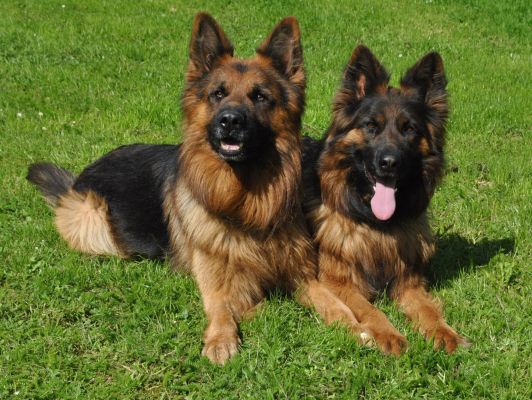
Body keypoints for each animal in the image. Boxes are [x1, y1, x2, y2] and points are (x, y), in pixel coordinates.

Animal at [27, 13, 361, 364]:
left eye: (259, 96)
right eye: (218, 93)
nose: (230, 121)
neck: (245, 203)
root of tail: (78, 178)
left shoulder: (303, 274)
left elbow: (335, 303)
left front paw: (357, 327)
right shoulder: (216, 282)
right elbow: (228, 306)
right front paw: (223, 336)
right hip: (93, 222)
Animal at [302, 45, 469, 354]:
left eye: (409, 129)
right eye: (371, 126)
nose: (389, 163)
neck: (374, 223)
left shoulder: (409, 281)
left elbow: (427, 309)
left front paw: (444, 332)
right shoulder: (336, 279)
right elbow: (369, 309)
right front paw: (388, 333)